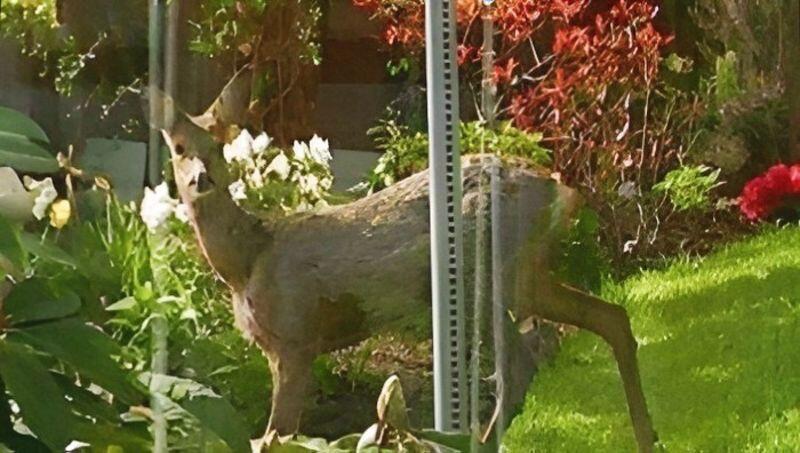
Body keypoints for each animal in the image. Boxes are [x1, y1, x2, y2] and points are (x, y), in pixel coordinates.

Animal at [160, 72, 657, 452]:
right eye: (180, 147)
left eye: (219, 144)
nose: (201, 178)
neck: (246, 262)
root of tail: (560, 190)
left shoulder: (296, 340)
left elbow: (277, 435)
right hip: (527, 276)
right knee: (611, 317)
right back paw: (648, 438)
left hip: (484, 276)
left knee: (521, 367)